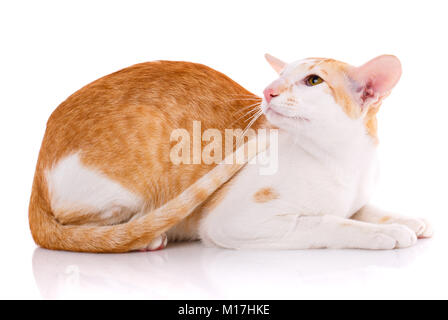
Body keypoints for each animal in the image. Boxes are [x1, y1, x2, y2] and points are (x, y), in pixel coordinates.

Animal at [27, 53, 430, 251]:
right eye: (280, 77)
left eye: (312, 80)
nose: (268, 90)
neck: (344, 161)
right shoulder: (236, 221)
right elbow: (328, 221)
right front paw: (384, 233)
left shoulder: (357, 195)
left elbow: (363, 209)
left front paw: (407, 220)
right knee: (81, 225)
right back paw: (145, 238)